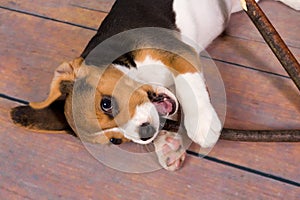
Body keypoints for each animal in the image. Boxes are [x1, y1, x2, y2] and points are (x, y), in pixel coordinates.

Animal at [10, 0, 298, 170]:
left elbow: (187, 84)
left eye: (106, 103)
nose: (146, 134)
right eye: (116, 142)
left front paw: (202, 123)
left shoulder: (178, 53)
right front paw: (168, 147)